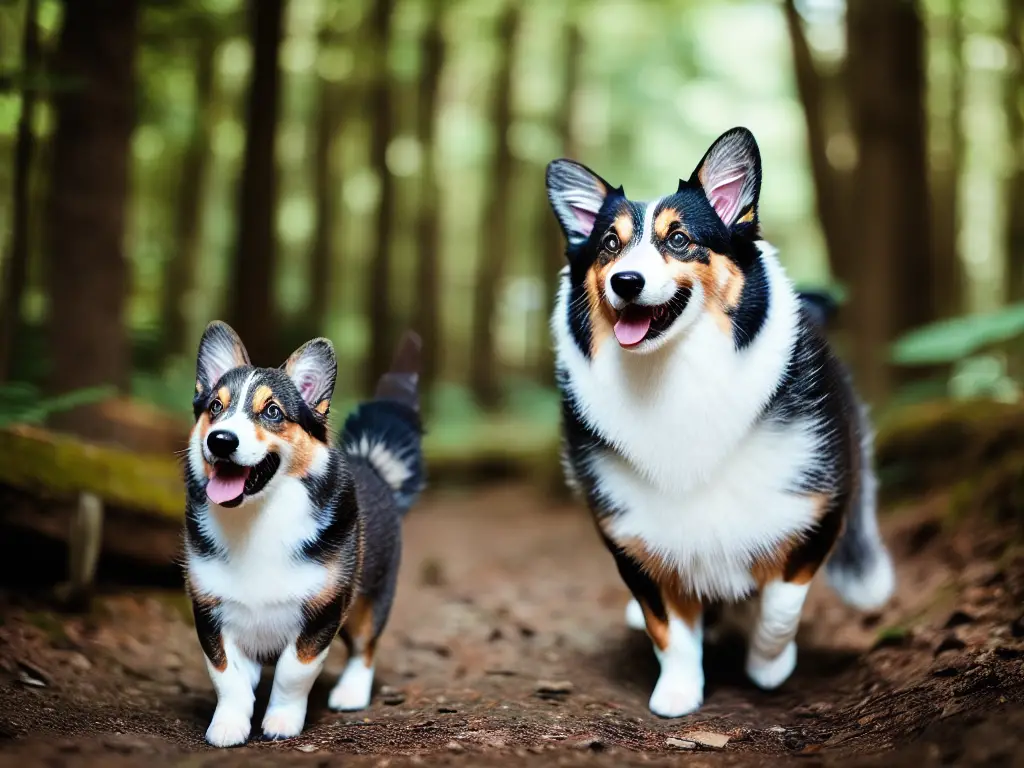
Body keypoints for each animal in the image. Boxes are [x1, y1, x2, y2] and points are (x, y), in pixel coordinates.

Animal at [184, 323, 423, 745]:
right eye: (215, 407)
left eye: (273, 411)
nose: (221, 440)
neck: (257, 517)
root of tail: (373, 466)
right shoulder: (209, 611)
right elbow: (227, 676)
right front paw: (228, 725)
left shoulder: (322, 612)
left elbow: (292, 673)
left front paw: (281, 721)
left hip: (369, 600)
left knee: (365, 647)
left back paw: (350, 692)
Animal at [548, 128, 892, 720]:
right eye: (609, 245)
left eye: (680, 239)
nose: (626, 281)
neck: (675, 373)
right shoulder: (632, 537)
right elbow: (669, 628)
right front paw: (677, 693)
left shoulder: (818, 508)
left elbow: (781, 601)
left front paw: (769, 665)